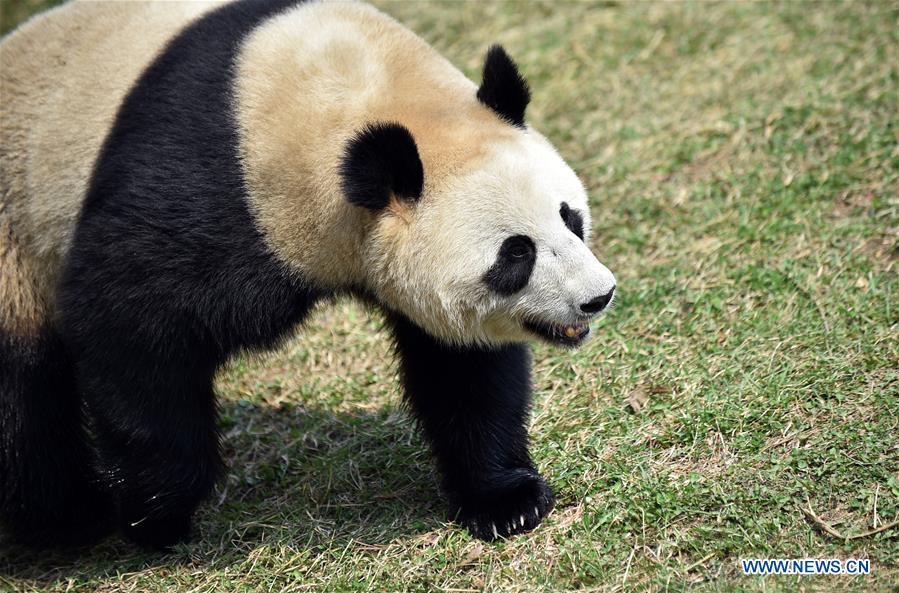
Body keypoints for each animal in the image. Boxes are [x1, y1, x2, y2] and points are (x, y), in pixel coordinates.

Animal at [0, 0, 616, 550]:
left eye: (570, 217)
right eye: (515, 255)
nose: (598, 297)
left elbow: (462, 367)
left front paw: (506, 501)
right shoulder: (212, 191)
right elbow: (129, 320)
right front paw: (155, 514)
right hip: (14, 239)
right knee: (24, 390)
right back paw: (69, 518)